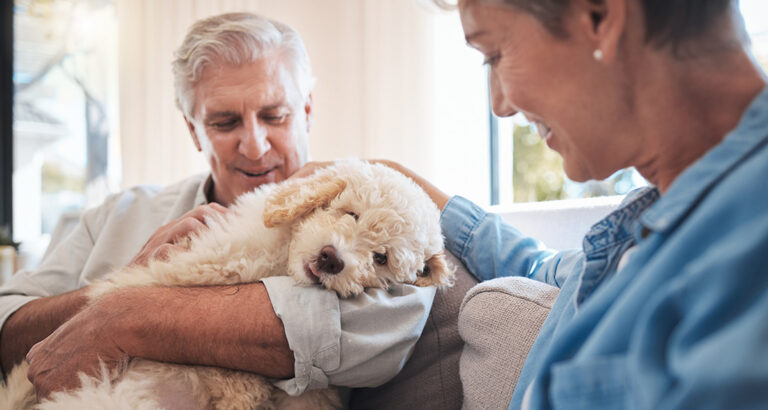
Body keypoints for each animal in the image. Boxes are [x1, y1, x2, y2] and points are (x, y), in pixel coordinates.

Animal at [0, 161, 452, 410]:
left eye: (381, 258)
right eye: (350, 213)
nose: (331, 258)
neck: (280, 259)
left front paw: (242, 391)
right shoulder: (189, 264)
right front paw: (240, 389)